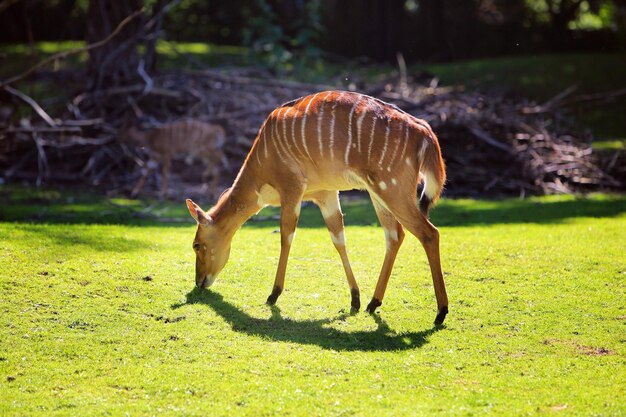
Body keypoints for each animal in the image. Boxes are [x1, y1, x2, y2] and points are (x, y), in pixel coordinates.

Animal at [185, 91, 448, 324]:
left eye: (196, 244)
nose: (200, 282)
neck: (262, 164)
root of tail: (424, 131)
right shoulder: (325, 193)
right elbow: (338, 238)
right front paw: (355, 299)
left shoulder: (292, 188)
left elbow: (286, 236)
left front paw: (273, 295)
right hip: (378, 192)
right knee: (395, 235)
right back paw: (373, 303)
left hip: (392, 189)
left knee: (429, 232)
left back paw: (441, 312)